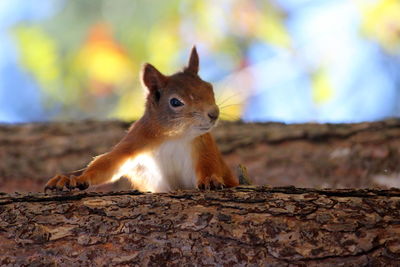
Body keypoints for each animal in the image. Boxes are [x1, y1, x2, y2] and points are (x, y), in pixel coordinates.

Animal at [44, 46, 238, 193]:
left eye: (209, 87)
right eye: (175, 102)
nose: (214, 113)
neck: (174, 136)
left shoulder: (204, 146)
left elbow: (209, 165)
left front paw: (210, 179)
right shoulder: (136, 141)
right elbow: (106, 165)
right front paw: (73, 178)